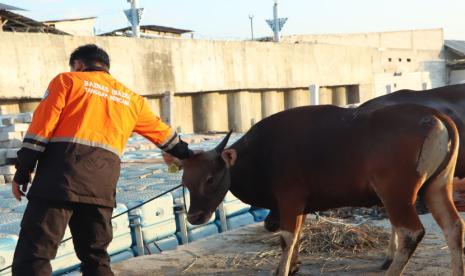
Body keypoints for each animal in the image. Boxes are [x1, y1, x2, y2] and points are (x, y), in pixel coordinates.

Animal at [179, 104, 462, 276]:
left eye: (210, 179)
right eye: (185, 182)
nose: (194, 216)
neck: (262, 153)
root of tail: (435, 115)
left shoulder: (289, 199)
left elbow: (287, 237)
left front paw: (283, 269)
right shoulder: (300, 204)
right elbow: (297, 235)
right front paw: (290, 266)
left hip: (396, 194)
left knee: (410, 232)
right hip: (438, 187)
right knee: (454, 226)